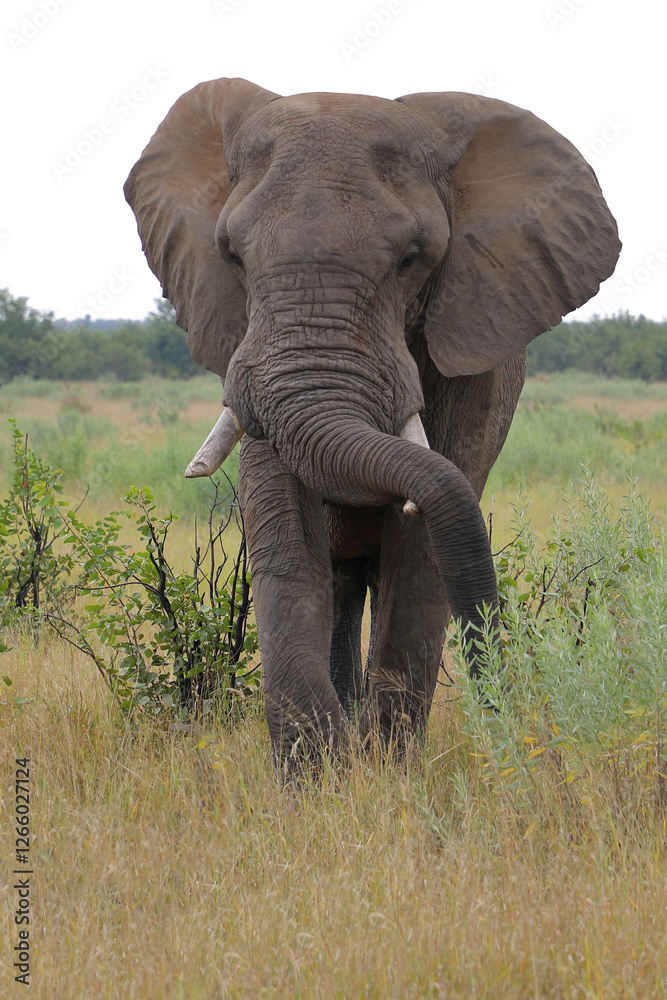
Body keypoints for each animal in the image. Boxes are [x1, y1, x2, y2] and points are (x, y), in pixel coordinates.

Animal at [124, 77, 620, 772]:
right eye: (232, 257)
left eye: (412, 259)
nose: (516, 714)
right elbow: (282, 523)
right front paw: (319, 774)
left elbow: (420, 546)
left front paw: (386, 769)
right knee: (340, 581)